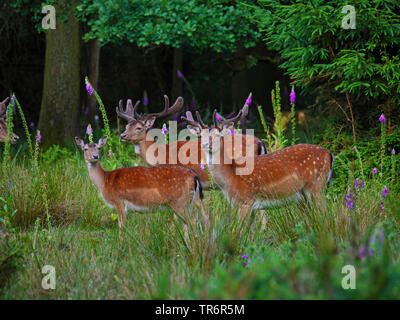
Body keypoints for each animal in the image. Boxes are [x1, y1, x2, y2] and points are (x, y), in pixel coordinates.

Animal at [75, 135, 206, 230]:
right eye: (85, 148)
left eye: (99, 148)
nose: (95, 156)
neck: (104, 181)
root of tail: (194, 176)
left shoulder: (119, 200)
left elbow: (121, 226)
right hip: (188, 201)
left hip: (180, 201)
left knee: (192, 221)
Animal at [184, 109, 334, 224]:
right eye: (201, 135)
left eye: (217, 135)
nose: (205, 145)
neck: (229, 178)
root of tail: (330, 154)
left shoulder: (245, 201)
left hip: (315, 186)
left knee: (325, 216)